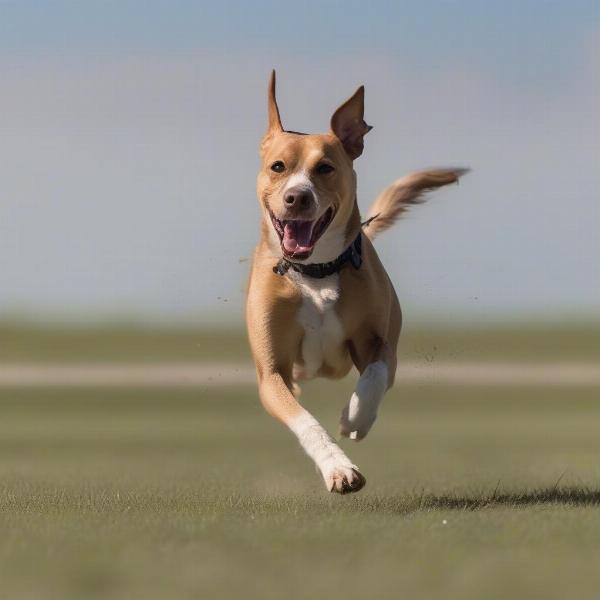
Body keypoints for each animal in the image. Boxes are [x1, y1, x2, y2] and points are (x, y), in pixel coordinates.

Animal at [246, 71, 466, 492]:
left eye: (325, 168)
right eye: (278, 166)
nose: (297, 197)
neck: (315, 272)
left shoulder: (380, 344)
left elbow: (375, 376)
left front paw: (354, 417)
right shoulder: (272, 373)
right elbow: (304, 419)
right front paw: (338, 467)